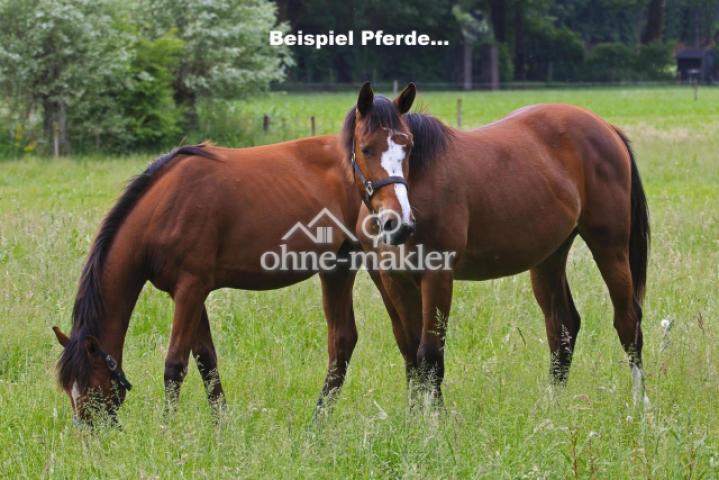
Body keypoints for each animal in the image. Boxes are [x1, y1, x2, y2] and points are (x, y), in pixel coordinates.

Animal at [52, 137, 364, 424]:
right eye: (69, 390)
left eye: (91, 387)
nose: (91, 437)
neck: (164, 208)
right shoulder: (190, 293)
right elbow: (206, 360)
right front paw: (221, 425)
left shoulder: (190, 289)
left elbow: (174, 366)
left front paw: (167, 428)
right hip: (335, 270)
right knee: (342, 341)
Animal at [343, 82, 650, 404]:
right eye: (366, 148)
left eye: (409, 147)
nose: (399, 223)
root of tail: (606, 128)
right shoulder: (395, 281)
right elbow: (411, 356)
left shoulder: (437, 277)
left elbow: (430, 357)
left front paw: (434, 418)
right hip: (549, 257)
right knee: (562, 324)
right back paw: (553, 405)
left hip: (609, 247)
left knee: (628, 321)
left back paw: (640, 402)